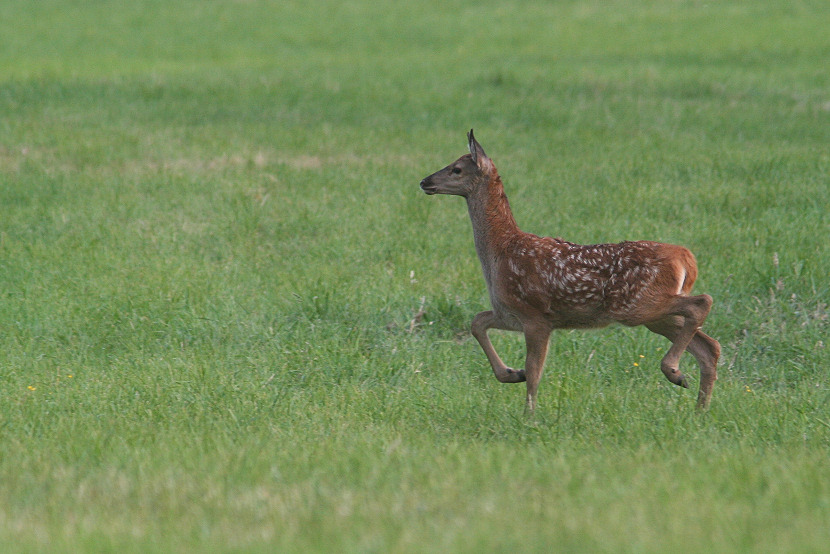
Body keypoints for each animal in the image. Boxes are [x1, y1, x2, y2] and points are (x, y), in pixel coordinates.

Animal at [420, 132, 720, 412]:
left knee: (702, 303)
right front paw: (511, 373)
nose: (424, 181)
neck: (501, 252)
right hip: (654, 315)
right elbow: (477, 322)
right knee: (709, 346)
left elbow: (535, 372)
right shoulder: (510, 312)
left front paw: (529, 416)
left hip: (636, 304)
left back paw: (673, 371)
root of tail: (687, 258)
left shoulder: (536, 316)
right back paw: (697, 407)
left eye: (457, 169)